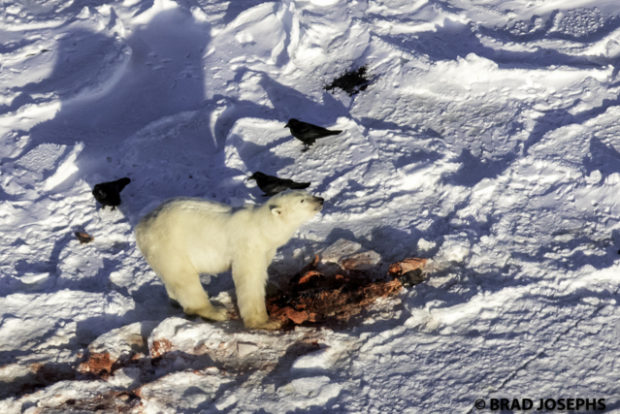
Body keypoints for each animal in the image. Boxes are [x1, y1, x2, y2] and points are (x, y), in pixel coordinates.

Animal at [136, 190, 324, 330]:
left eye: (307, 193)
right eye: (302, 200)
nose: (321, 199)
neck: (262, 227)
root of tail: (141, 226)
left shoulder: (267, 249)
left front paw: (271, 287)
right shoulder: (248, 245)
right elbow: (249, 280)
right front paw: (266, 321)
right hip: (170, 246)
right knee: (185, 279)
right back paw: (216, 311)